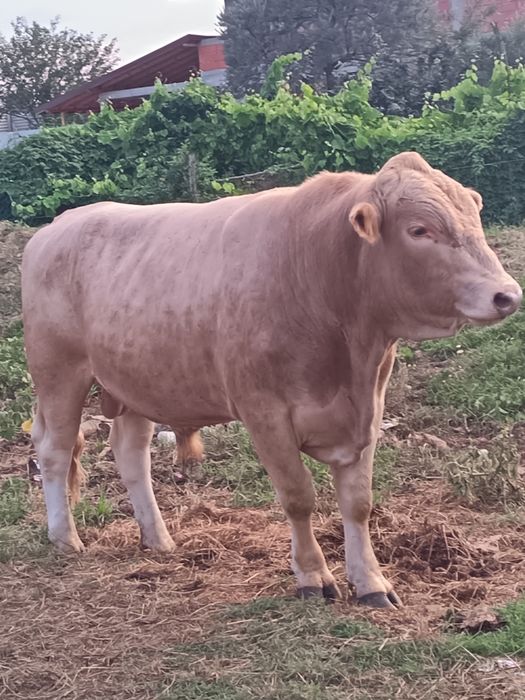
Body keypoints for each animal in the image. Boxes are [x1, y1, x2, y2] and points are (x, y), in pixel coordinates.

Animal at [22, 152, 522, 609]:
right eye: (419, 230)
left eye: (474, 217)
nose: (507, 294)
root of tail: (58, 225)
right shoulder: (264, 411)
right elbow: (298, 496)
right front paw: (313, 577)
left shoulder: (369, 410)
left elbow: (358, 502)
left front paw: (371, 583)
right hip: (59, 373)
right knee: (55, 451)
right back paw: (65, 538)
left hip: (134, 381)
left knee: (131, 456)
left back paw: (158, 539)